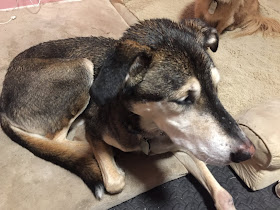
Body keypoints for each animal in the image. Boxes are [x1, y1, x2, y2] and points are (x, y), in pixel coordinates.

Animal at [0, 18, 254, 209]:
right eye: (183, 99)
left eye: (216, 89)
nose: (248, 152)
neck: (148, 131)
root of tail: (2, 97)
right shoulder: (96, 131)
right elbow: (114, 182)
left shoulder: (184, 144)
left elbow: (224, 195)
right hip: (81, 68)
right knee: (55, 139)